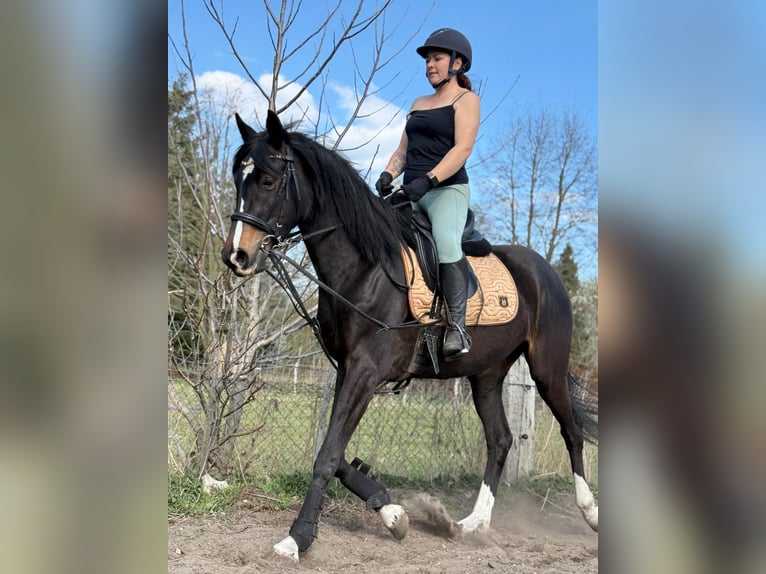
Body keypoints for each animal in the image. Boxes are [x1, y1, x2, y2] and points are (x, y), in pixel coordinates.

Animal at [221, 110, 598, 563]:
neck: (366, 268)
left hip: (547, 369)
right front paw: (392, 512)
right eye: (237, 178)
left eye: (268, 180)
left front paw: (297, 538)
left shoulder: (365, 371)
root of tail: (546, 272)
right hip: (486, 376)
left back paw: (590, 512)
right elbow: (337, 452)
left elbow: (327, 455)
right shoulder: (348, 370)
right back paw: (471, 524)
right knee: (500, 440)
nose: (236, 256)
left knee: (571, 432)